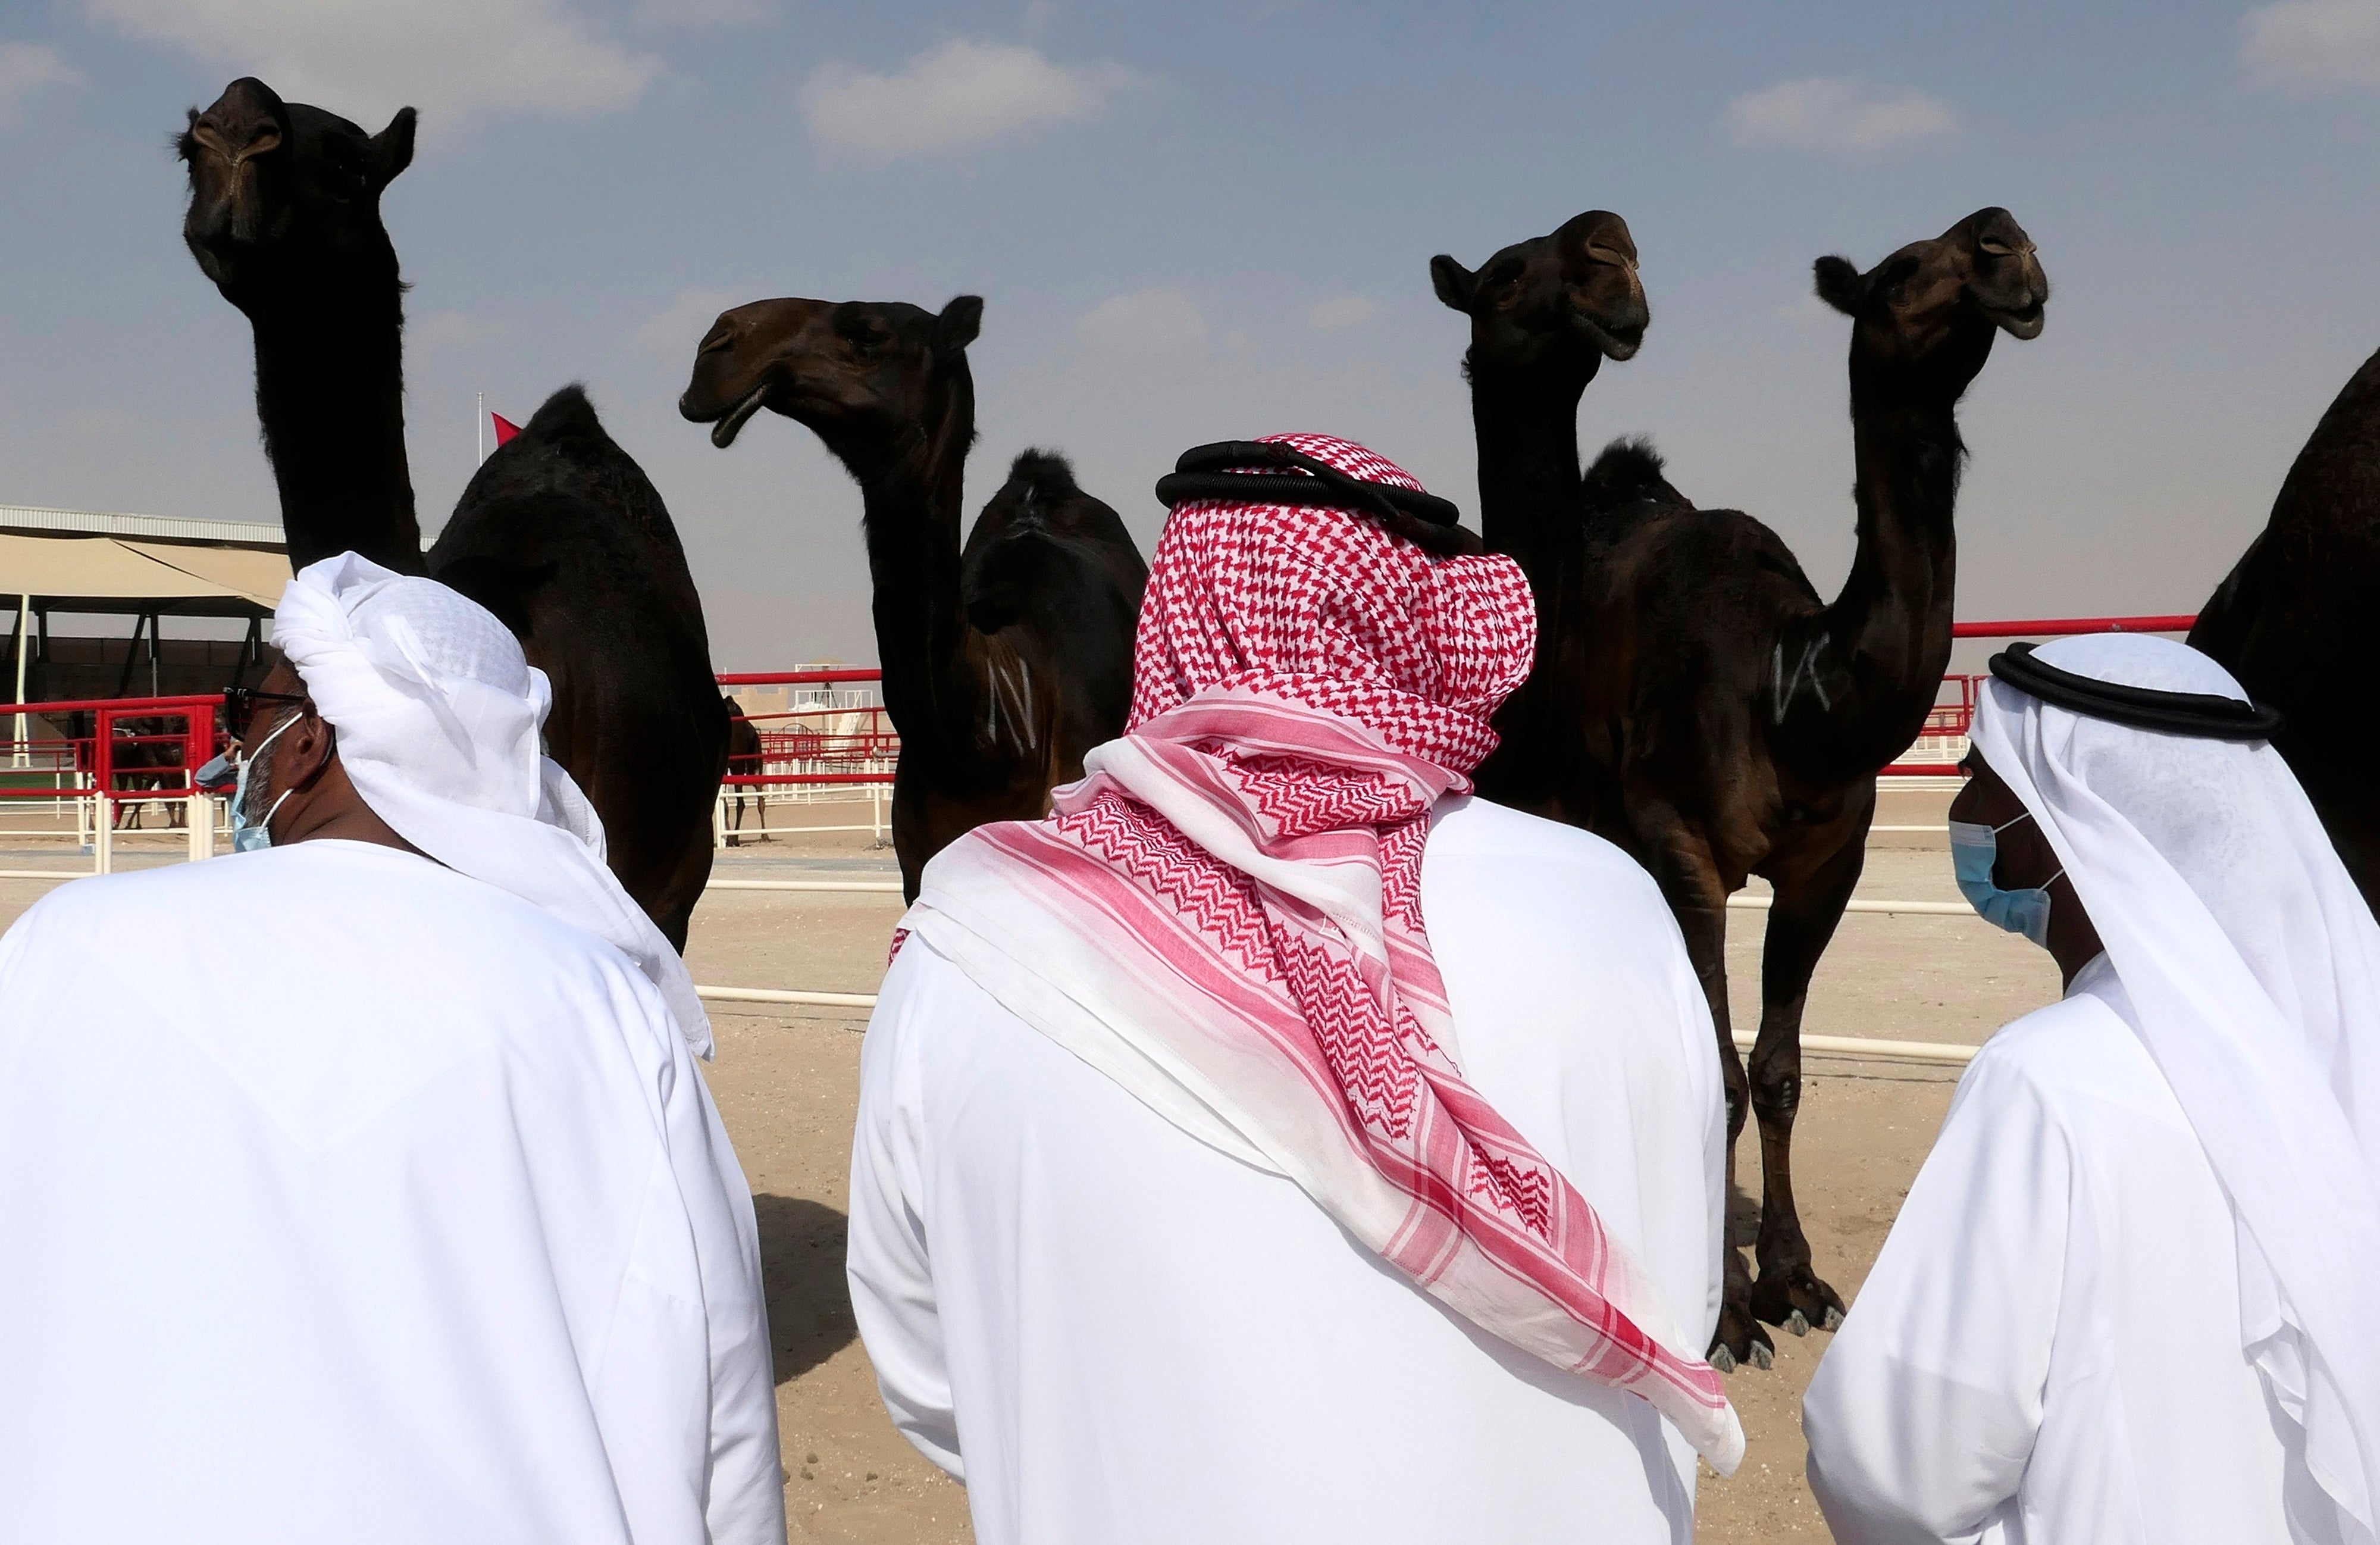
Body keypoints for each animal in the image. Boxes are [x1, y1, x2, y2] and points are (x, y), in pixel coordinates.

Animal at [1438, 211, 2056, 1371]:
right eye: (1904, 270)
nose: (2008, 245)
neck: (1795, 689)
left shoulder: (1828, 865)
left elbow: (1775, 1070)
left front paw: (1795, 1280)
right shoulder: (1681, 847)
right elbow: (1713, 1071)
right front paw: (1724, 1314)